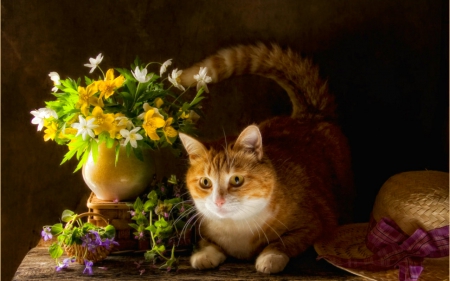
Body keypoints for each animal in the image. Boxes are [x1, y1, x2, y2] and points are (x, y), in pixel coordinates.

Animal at [178, 43, 354, 274]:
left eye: (236, 180)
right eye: (205, 182)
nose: (218, 201)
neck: (237, 228)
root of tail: (310, 115)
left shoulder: (314, 224)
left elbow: (282, 242)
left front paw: (270, 257)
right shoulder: (206, 230)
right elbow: (209, 243)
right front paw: (204, 254)